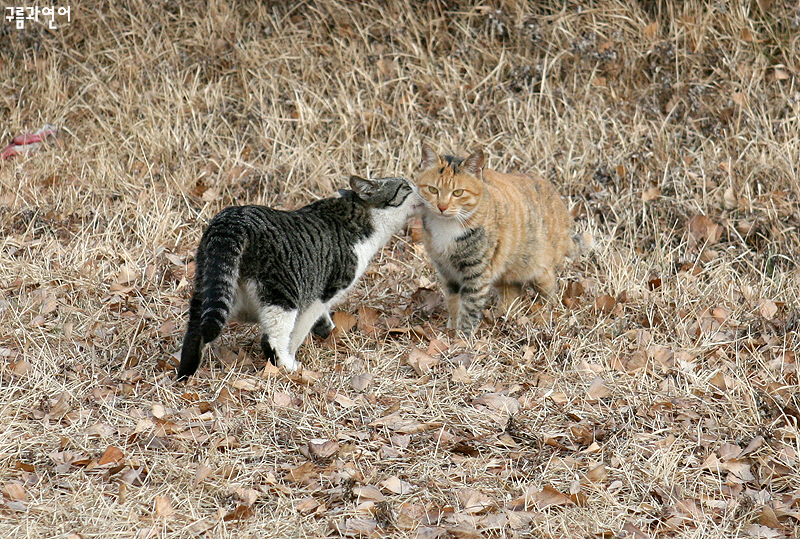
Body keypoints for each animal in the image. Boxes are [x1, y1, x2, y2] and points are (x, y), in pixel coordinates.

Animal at [177, 177, 418, 380]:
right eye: (405, 186)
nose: (418, 187)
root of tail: (232, 220)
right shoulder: (322, 292)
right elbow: (300, 330)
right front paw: (295, 355)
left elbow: (322, 319)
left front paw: (327, 331)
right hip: (281, 293)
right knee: (272, 339)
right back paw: (288, 367)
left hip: (208, 285)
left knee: (196, 330)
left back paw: (185, 374)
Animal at [416, 143, 580, 334]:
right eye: (432, 189)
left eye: (458, 192)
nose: (442, 207)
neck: (447, 227)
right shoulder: (446, 271)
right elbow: (453, 301)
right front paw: (452, 327)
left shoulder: (477, 272)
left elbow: (470, 306)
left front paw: (462, 335)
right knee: (512, 292)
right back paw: (504, 315)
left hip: (537, 265)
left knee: (549, 285)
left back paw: (546, 309)